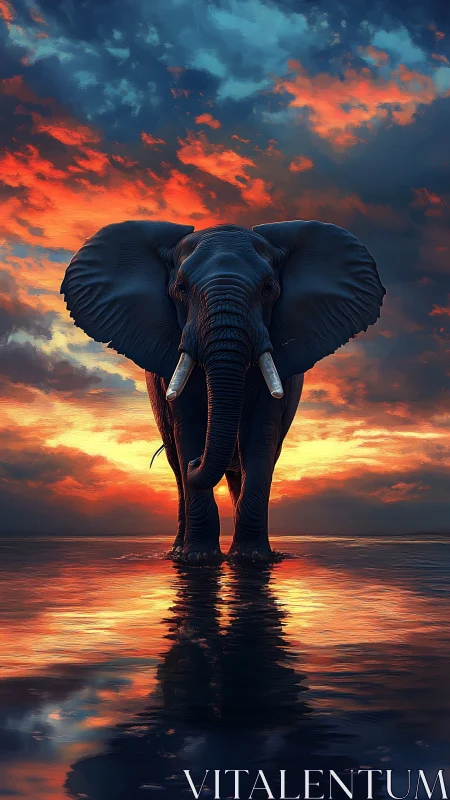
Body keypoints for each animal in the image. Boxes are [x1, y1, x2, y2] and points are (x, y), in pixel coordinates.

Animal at [61, 219, 385, 564]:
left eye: (268, 288)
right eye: (181, 289)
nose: (197, 462)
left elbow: (260, 435)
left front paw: (252, 558)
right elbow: (188, 429)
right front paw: (198, 559)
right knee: (177, 466)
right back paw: (177, 550)